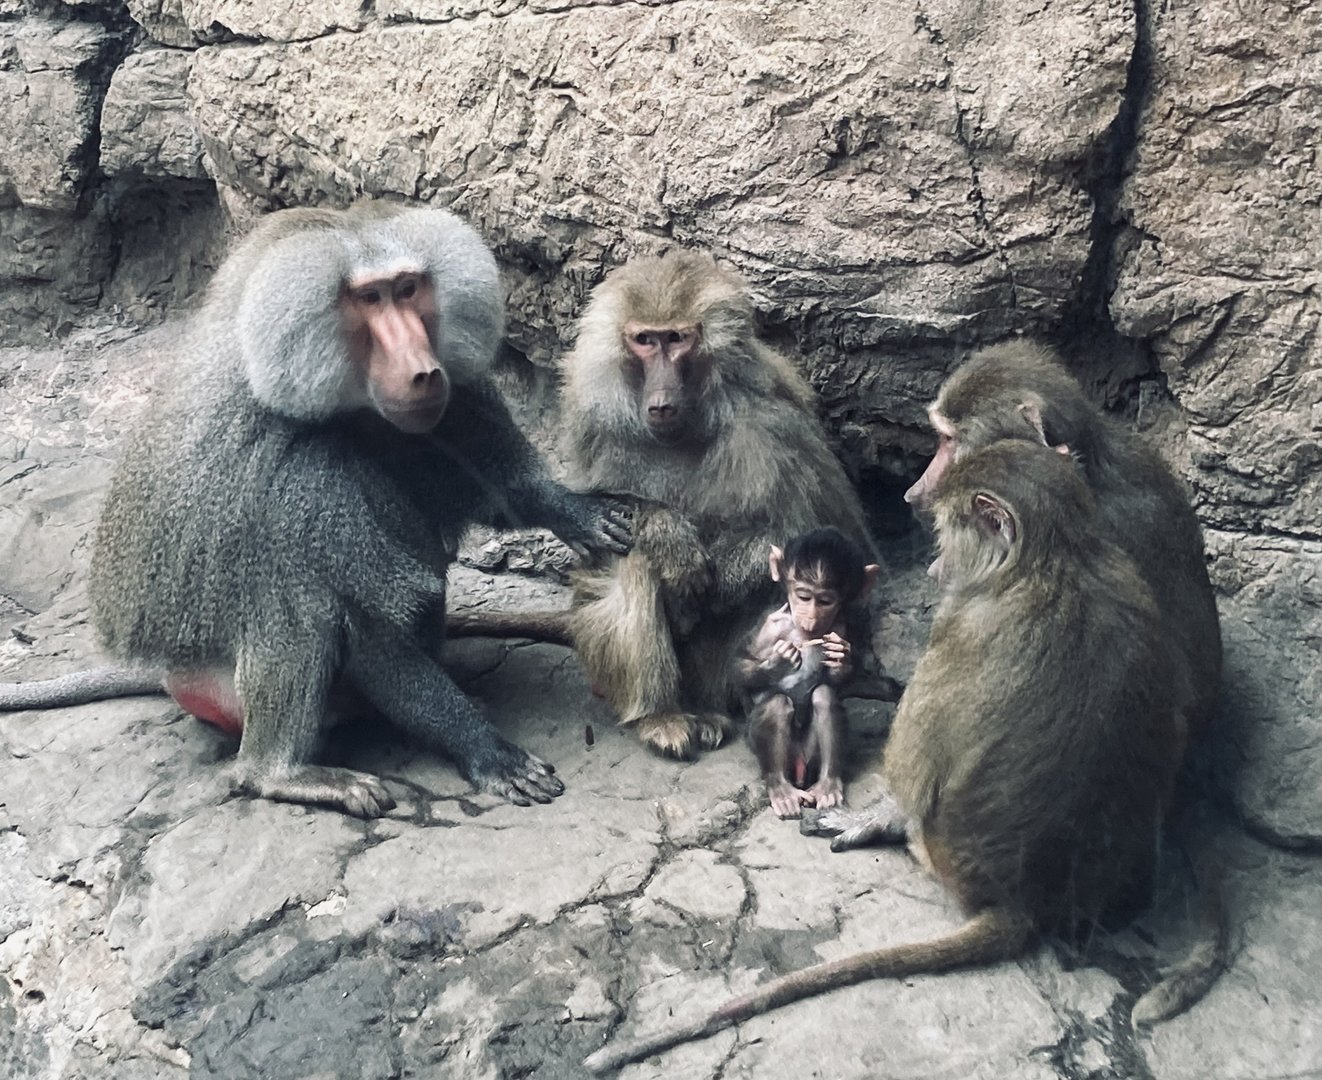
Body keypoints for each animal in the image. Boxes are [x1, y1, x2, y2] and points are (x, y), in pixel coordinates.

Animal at [1, 201, 632, 817]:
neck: (345, 404)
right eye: (369, 299)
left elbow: (496, 490)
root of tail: (164, 674)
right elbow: (370, 632)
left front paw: (574, 511)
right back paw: (286, 774)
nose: (424, 371)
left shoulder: (456, 400)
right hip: (219, 680)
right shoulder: (303, 482)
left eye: (408, 289)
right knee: (296, 613)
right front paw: (489, 751)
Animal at [737, 527, 879, 819]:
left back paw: (827, 785)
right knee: (776, 704)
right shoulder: (768, 624)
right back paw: (780, 789)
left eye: (825, 601)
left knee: (824, 696)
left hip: (811, 757)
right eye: (803, 596)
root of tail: (799, 770)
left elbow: (842, 679)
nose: (810, 617)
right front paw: (778, 662)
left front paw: (842, 660)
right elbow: (740, 665)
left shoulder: (842, 626)